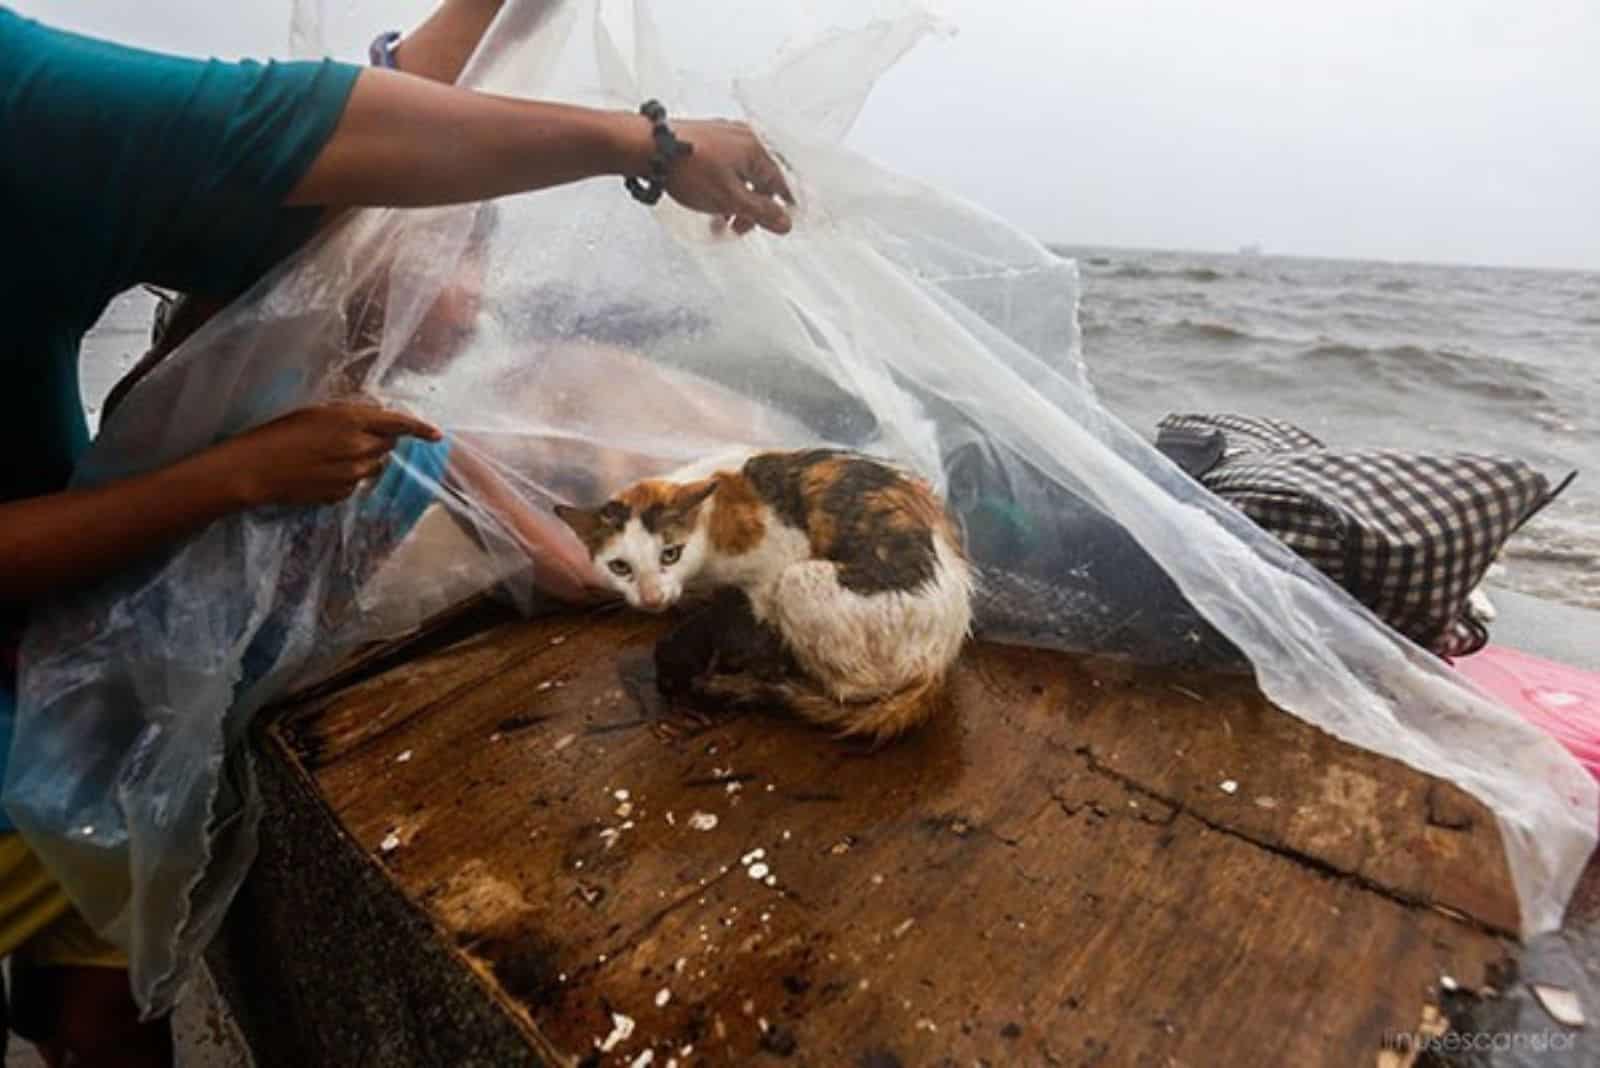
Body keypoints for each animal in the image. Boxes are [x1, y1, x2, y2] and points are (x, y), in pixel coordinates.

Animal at [556, 450, 966, 741]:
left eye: (670, 554)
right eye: (620, 567)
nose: (652, 598)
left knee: (850, 689)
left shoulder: (777, 563)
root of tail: (940, 663)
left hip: (800, 581)